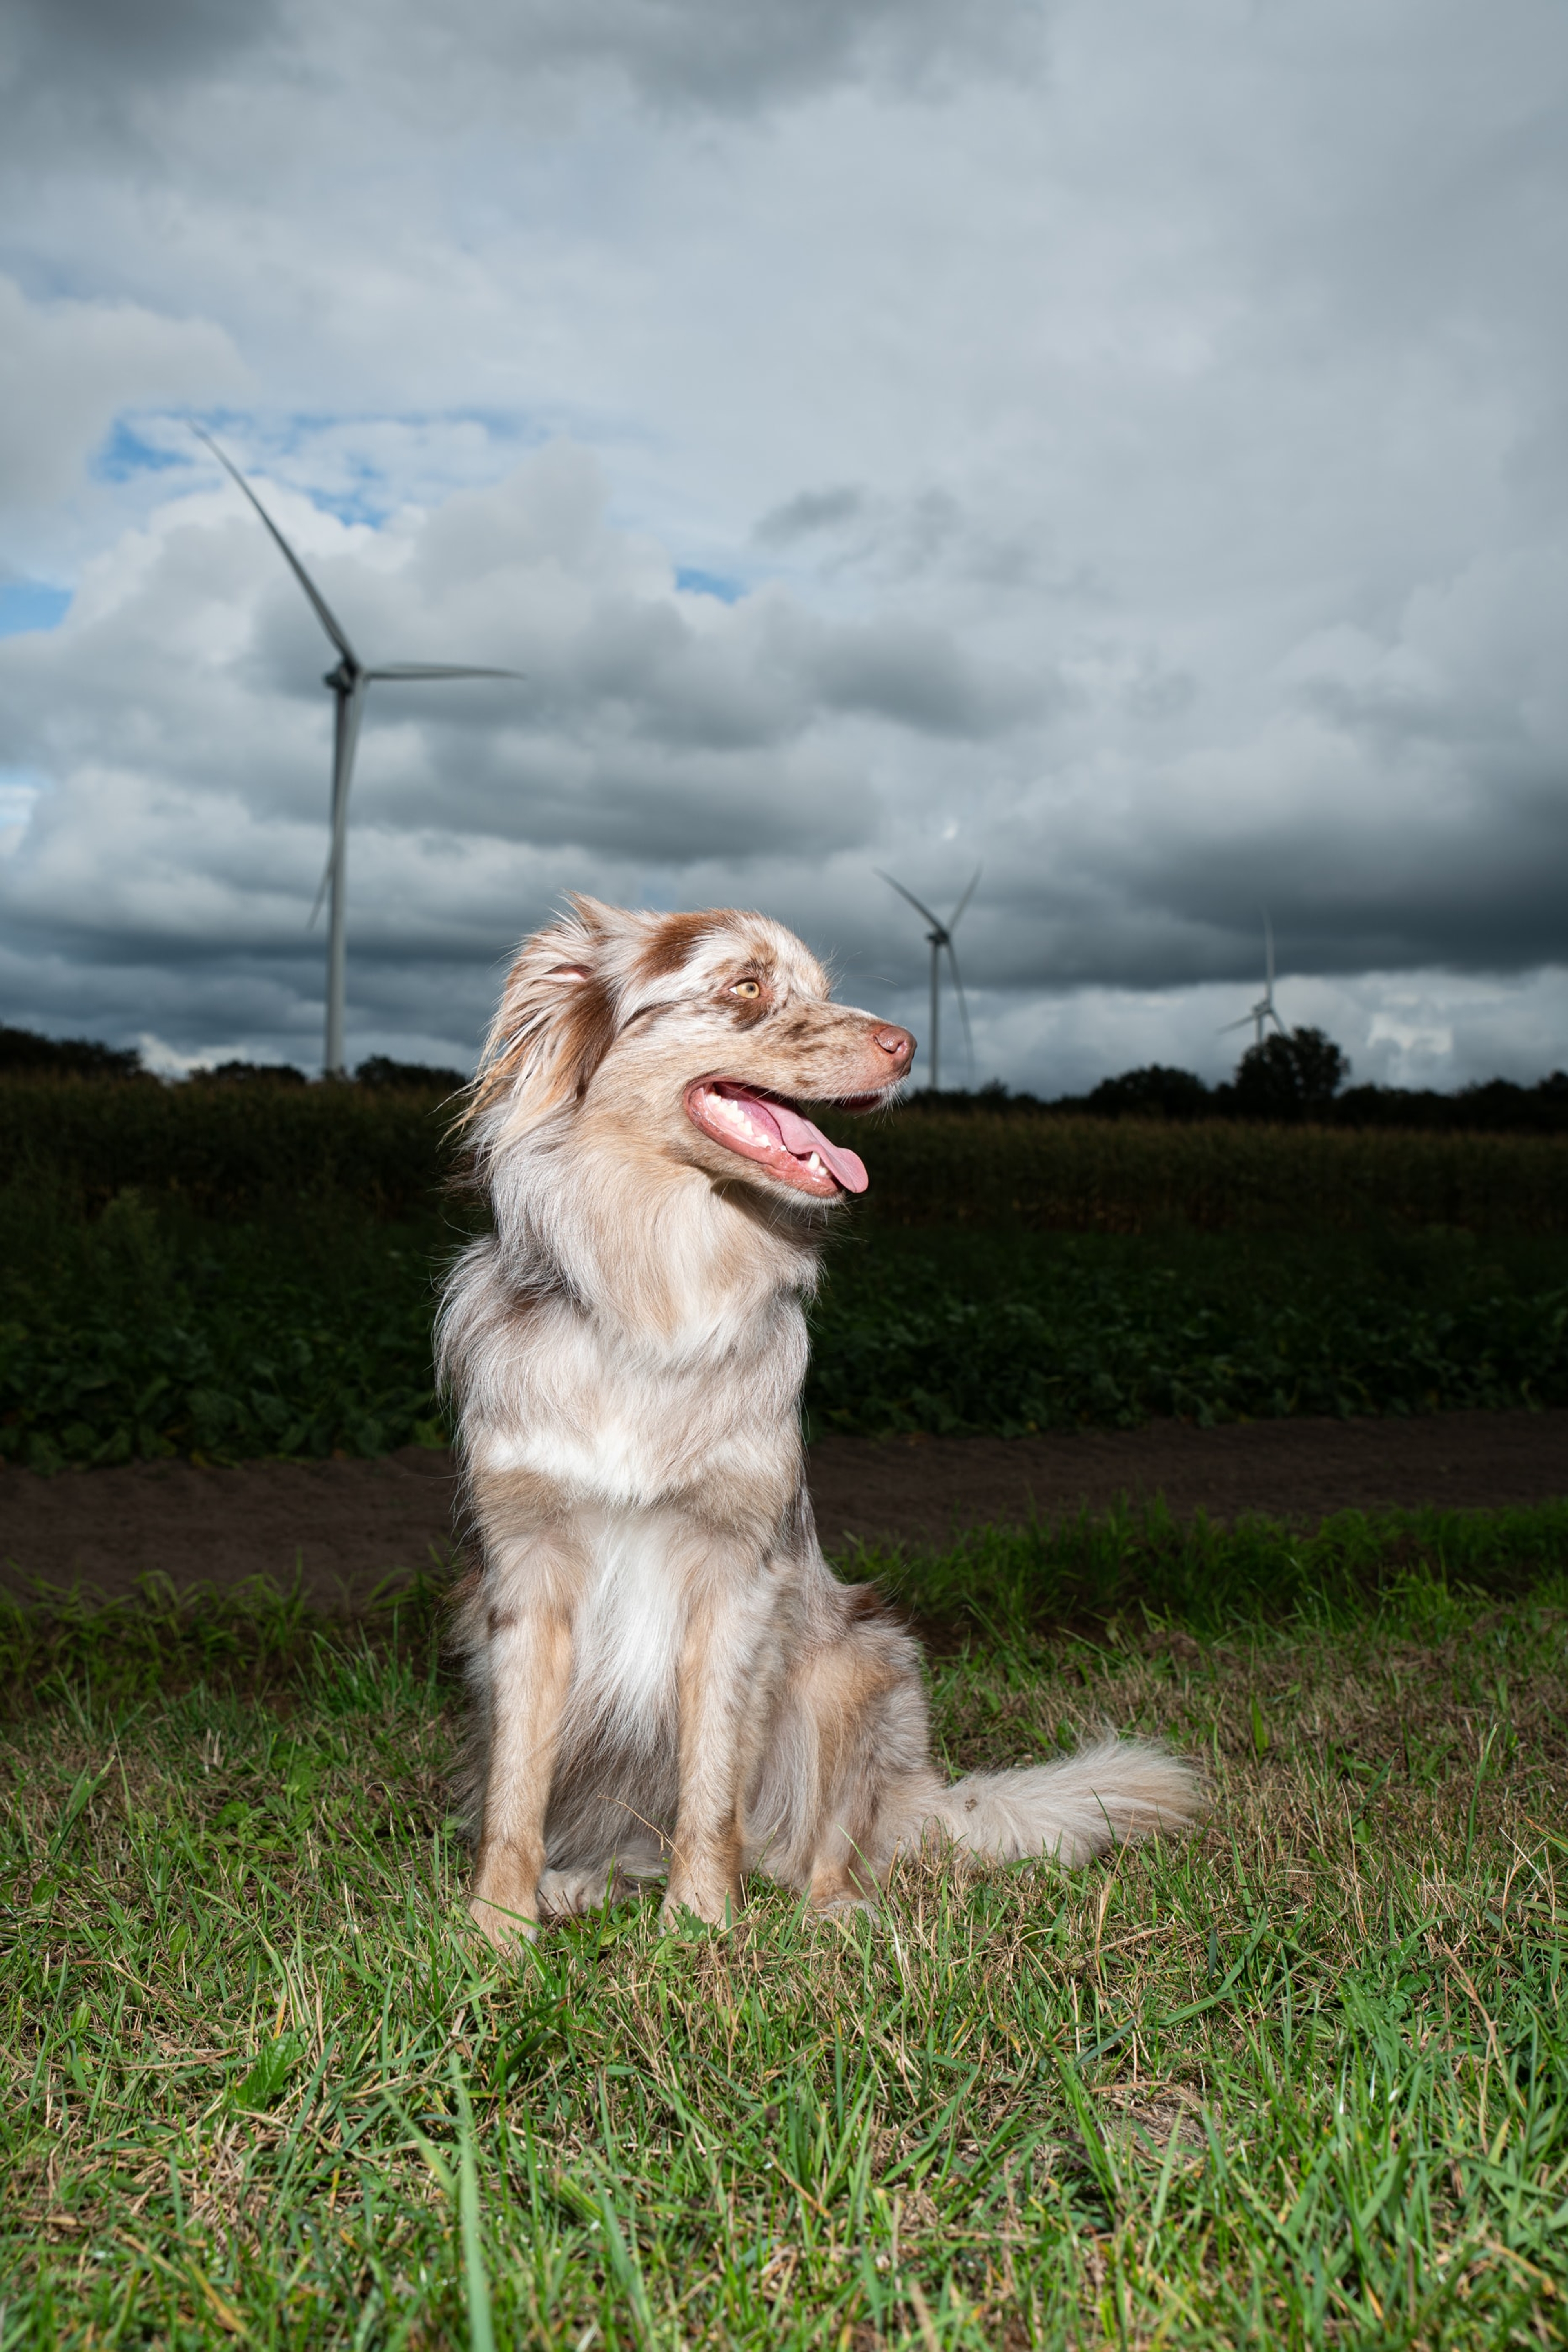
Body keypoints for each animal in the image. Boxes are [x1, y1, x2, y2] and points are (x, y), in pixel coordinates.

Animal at [435, 889, 1194, 1938]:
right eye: (746, 986)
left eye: (821, 988)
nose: (907, 1043)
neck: (655, 1278)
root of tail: (920, 1795)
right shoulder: (525, 1579)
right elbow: (516, 1787)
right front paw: (495, 1930)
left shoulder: (737, 1577)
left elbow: (712, 1782)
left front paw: (702, 1925)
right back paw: (583, 1880)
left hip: (861, 1661)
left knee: (824, 1840)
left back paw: (832, 1911)